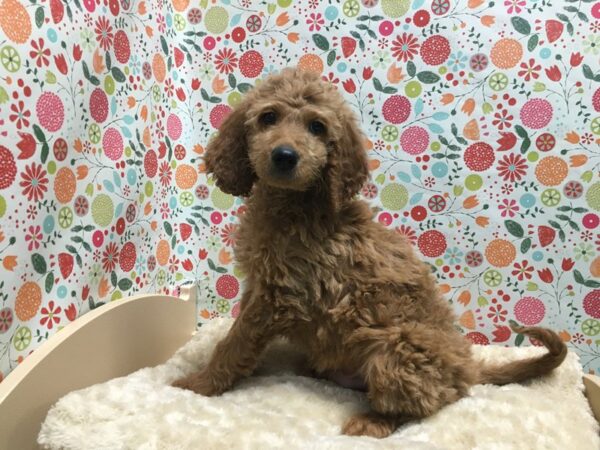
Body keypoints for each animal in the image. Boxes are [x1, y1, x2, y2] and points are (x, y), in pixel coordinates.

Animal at [173, 68, 568, 438]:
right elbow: (238, 334)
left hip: (398, 350)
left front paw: (198, 384)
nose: (285, 156)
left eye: (317, 127)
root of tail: (467, 366)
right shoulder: (260, 284)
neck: (291, 204)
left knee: (426, 402)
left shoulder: (279, 296)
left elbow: (235, 343)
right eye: (268, 117)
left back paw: (373, 421)